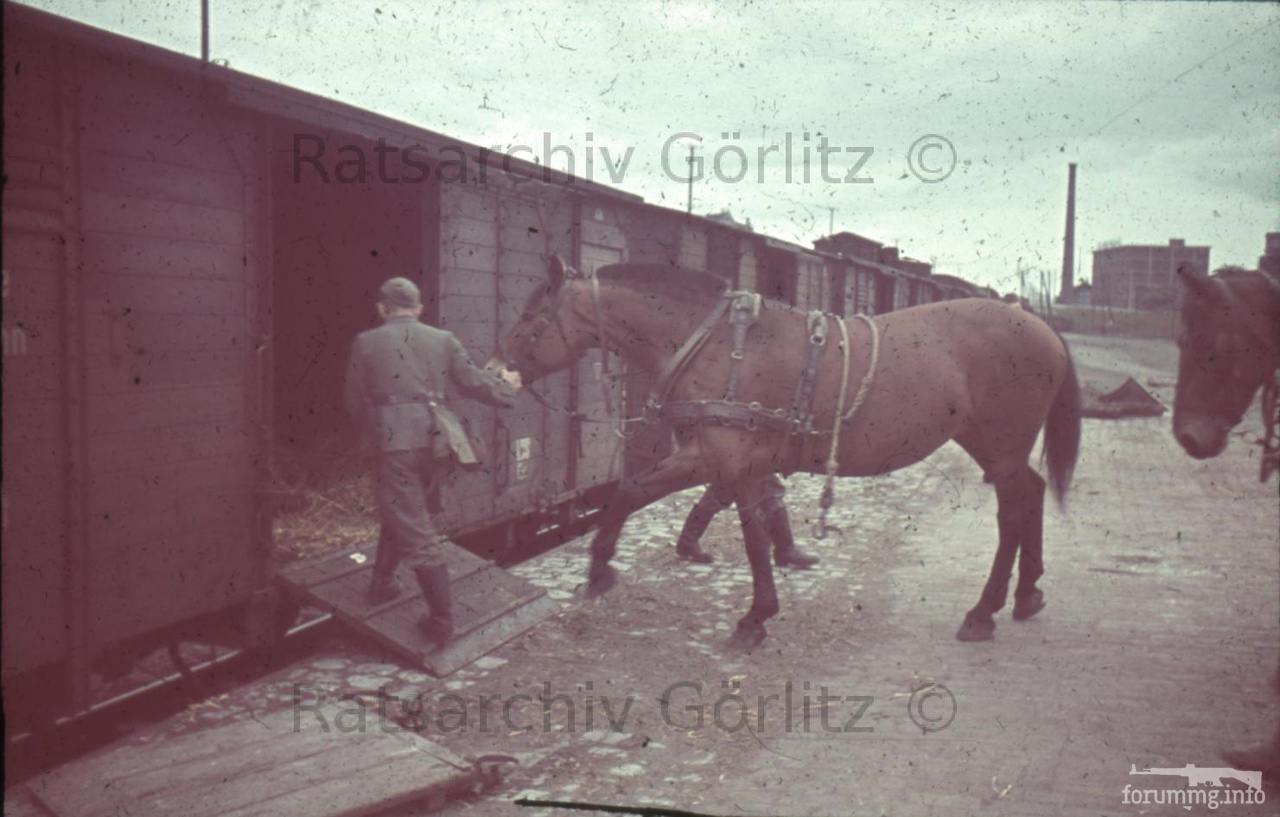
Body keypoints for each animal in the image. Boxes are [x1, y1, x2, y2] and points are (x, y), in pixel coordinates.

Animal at [488, 258, 1080, 650]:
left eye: (532, 315)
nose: (494, 370)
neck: (714, 345)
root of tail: (1042, 327)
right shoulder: (709, 456)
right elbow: (632, 490)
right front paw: (598, 570)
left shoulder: (734, 462)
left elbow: (752, 538)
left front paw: (755, 617)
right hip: (993, 447)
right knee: (1030, 496)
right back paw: (1026, 594)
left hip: (998, 445)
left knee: (1013, 511)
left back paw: (984, 610)